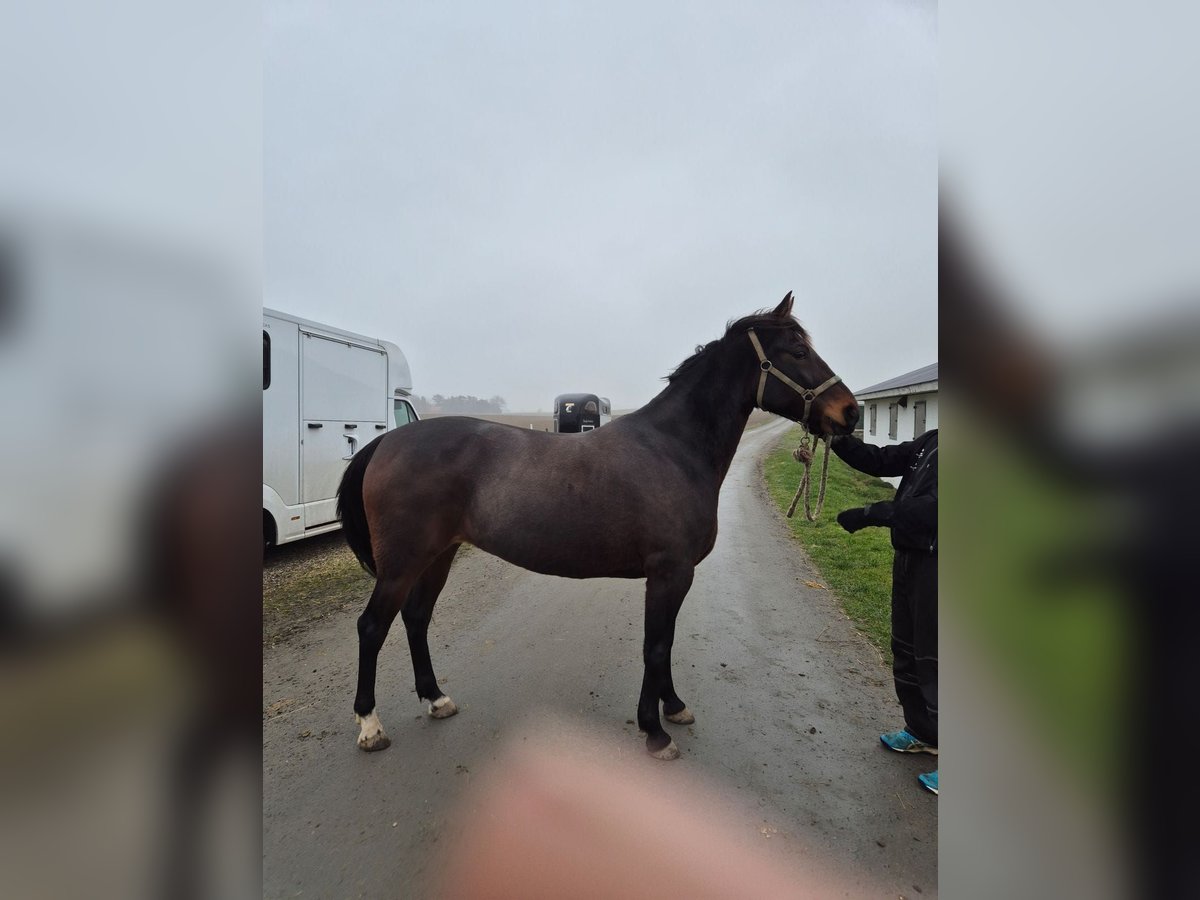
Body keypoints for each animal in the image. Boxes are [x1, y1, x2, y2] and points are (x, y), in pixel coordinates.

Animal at [338, 292, 864, 758]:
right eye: (798, 351)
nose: (851, 412)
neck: (673, 449)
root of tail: (387, 442)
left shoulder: (676, 576)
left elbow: (666, 641)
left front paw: (673, 707)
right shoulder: (669, 572)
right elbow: (655, 646)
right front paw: (655, 732)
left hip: (439, 554)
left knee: (416, 618)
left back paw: (436, 698)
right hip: (403, 562)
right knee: (372, 627)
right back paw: (370, 726)